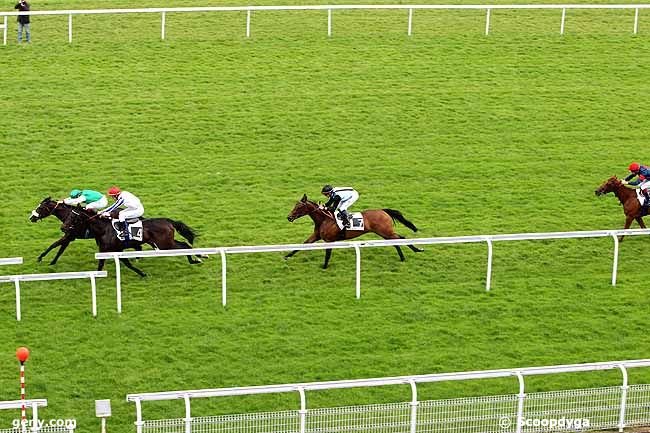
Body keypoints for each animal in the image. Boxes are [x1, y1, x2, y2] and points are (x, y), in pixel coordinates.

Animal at [61, 207, 202, 276]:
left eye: (73, 216)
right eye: (68, 215)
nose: (63, 228)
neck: (104, 229)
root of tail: (168, 221)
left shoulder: (113, 250)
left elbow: (122, 263)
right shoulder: (111, 250)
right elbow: (115, 263)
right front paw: (142, 273)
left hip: (165, 244)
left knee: (184, 245)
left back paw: (197, 258)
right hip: (167, 242)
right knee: (184, 244)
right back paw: (198, 257)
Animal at [282, 195, 420, 268]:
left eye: (299, 207)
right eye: (295, 205)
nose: (289, 217)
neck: (324, 219)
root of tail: (383, 210)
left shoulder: (329, 240)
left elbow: (328, 254)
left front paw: (324, 266)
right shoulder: (316, 236)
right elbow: (302, 245)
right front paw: (287, 256)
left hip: (385, 231)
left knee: (400, 238)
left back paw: (417, 250)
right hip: (384, 233)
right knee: (397, 241)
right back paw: (403, 257)